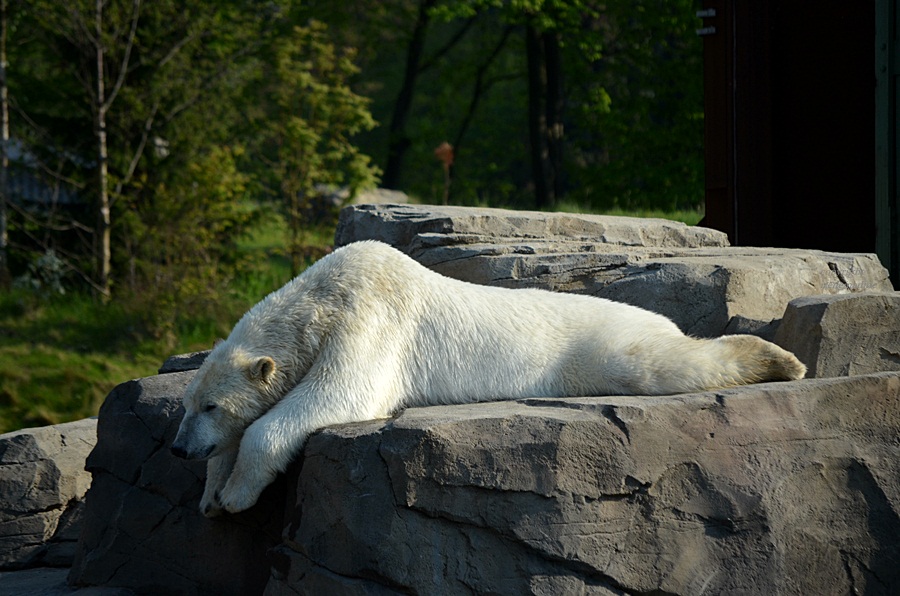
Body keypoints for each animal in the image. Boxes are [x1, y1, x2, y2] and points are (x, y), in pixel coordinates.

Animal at [172, 240, 804, 516]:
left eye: (210, 406)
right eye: (189, 405)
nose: (178, 449)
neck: (320, 297)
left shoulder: (370, 317)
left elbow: (338, 393)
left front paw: (234, 495)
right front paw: (209, 492)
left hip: (600, 347)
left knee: (661, 363)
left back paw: (780, 359)